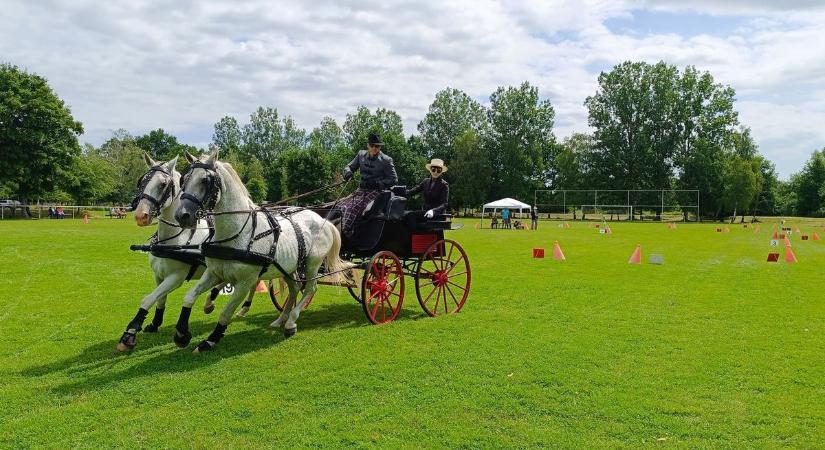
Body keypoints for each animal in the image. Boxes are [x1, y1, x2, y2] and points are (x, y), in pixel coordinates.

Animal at [117, 155, 260, 352]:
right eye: (142, 181)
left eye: (163, 184)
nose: (140, 215)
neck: (176, 238)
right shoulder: (159, 275)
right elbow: (159, 300)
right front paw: (154, 323)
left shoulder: (176, 277)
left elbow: (148, 299)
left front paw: (129, 334)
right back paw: (210, 302)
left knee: (256, 283)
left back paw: (243, 307)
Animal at [172, 151, 350, 352]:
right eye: (184, 179)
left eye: (205, 180)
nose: (182, 215)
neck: (239, 232)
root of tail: (322, 219)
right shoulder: (213, 273)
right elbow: (189, 297)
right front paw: (181, 334)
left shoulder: (245, 282)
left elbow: (226, 313)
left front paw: (210, 340)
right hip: (288, 267)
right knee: (295, 288)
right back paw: (281, 319)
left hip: (312, 264)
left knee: (310, 288)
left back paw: (291, 322)